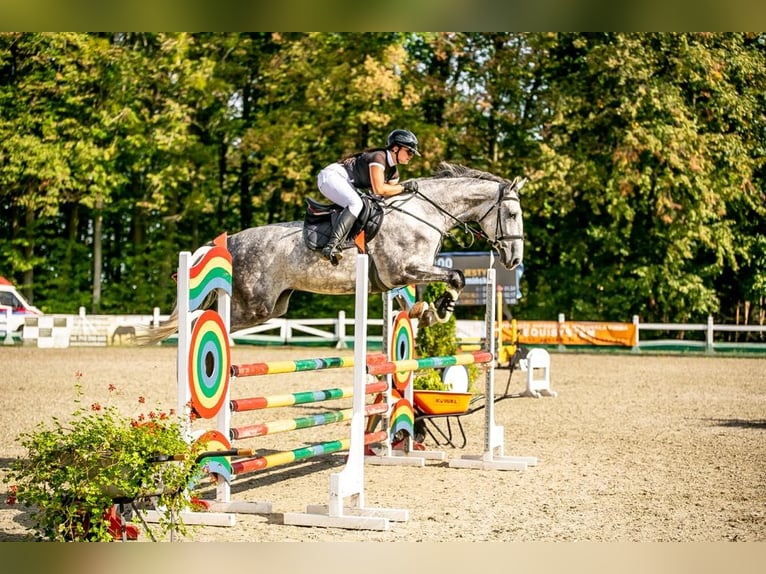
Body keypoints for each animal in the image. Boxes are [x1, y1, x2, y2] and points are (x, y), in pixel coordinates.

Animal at [140, 163, 528, 346]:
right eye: (511, 214)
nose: (513, 259)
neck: (424, 211)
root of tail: (230, 242)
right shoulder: (404, 270)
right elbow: (456, 275)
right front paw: (440, 309)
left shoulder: (407, 274)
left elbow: (446, 282)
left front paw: (430, 312)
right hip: (254, 306)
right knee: (202, 321)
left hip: (273, 306)